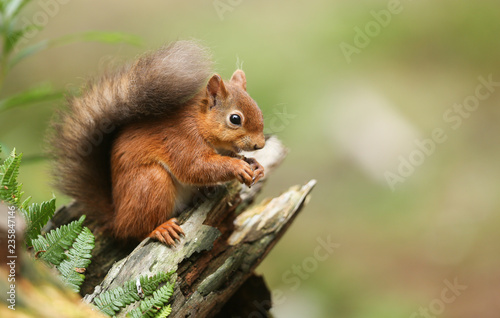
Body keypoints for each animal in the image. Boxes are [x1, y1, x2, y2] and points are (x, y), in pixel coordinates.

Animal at [51, 41, 266, 246]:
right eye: (235, 119)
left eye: (260, 112)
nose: (260, 145)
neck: (199, 123)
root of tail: (116, 218)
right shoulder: (182, 140)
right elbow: (195, 167)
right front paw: (237, 166)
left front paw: (255, 165)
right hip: (151, 182)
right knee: (135, 231)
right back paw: (159, 229)